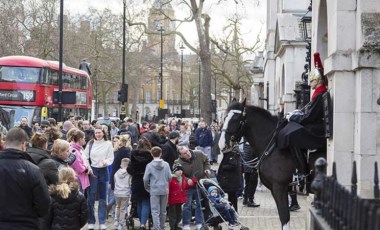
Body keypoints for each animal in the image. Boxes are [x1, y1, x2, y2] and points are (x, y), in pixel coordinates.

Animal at [218, 99, 296, 230]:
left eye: (236, 119)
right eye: (224, 118)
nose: (222, 144)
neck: (273, 146)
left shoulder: (280, 187)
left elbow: (284, 217)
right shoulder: (277, 189)